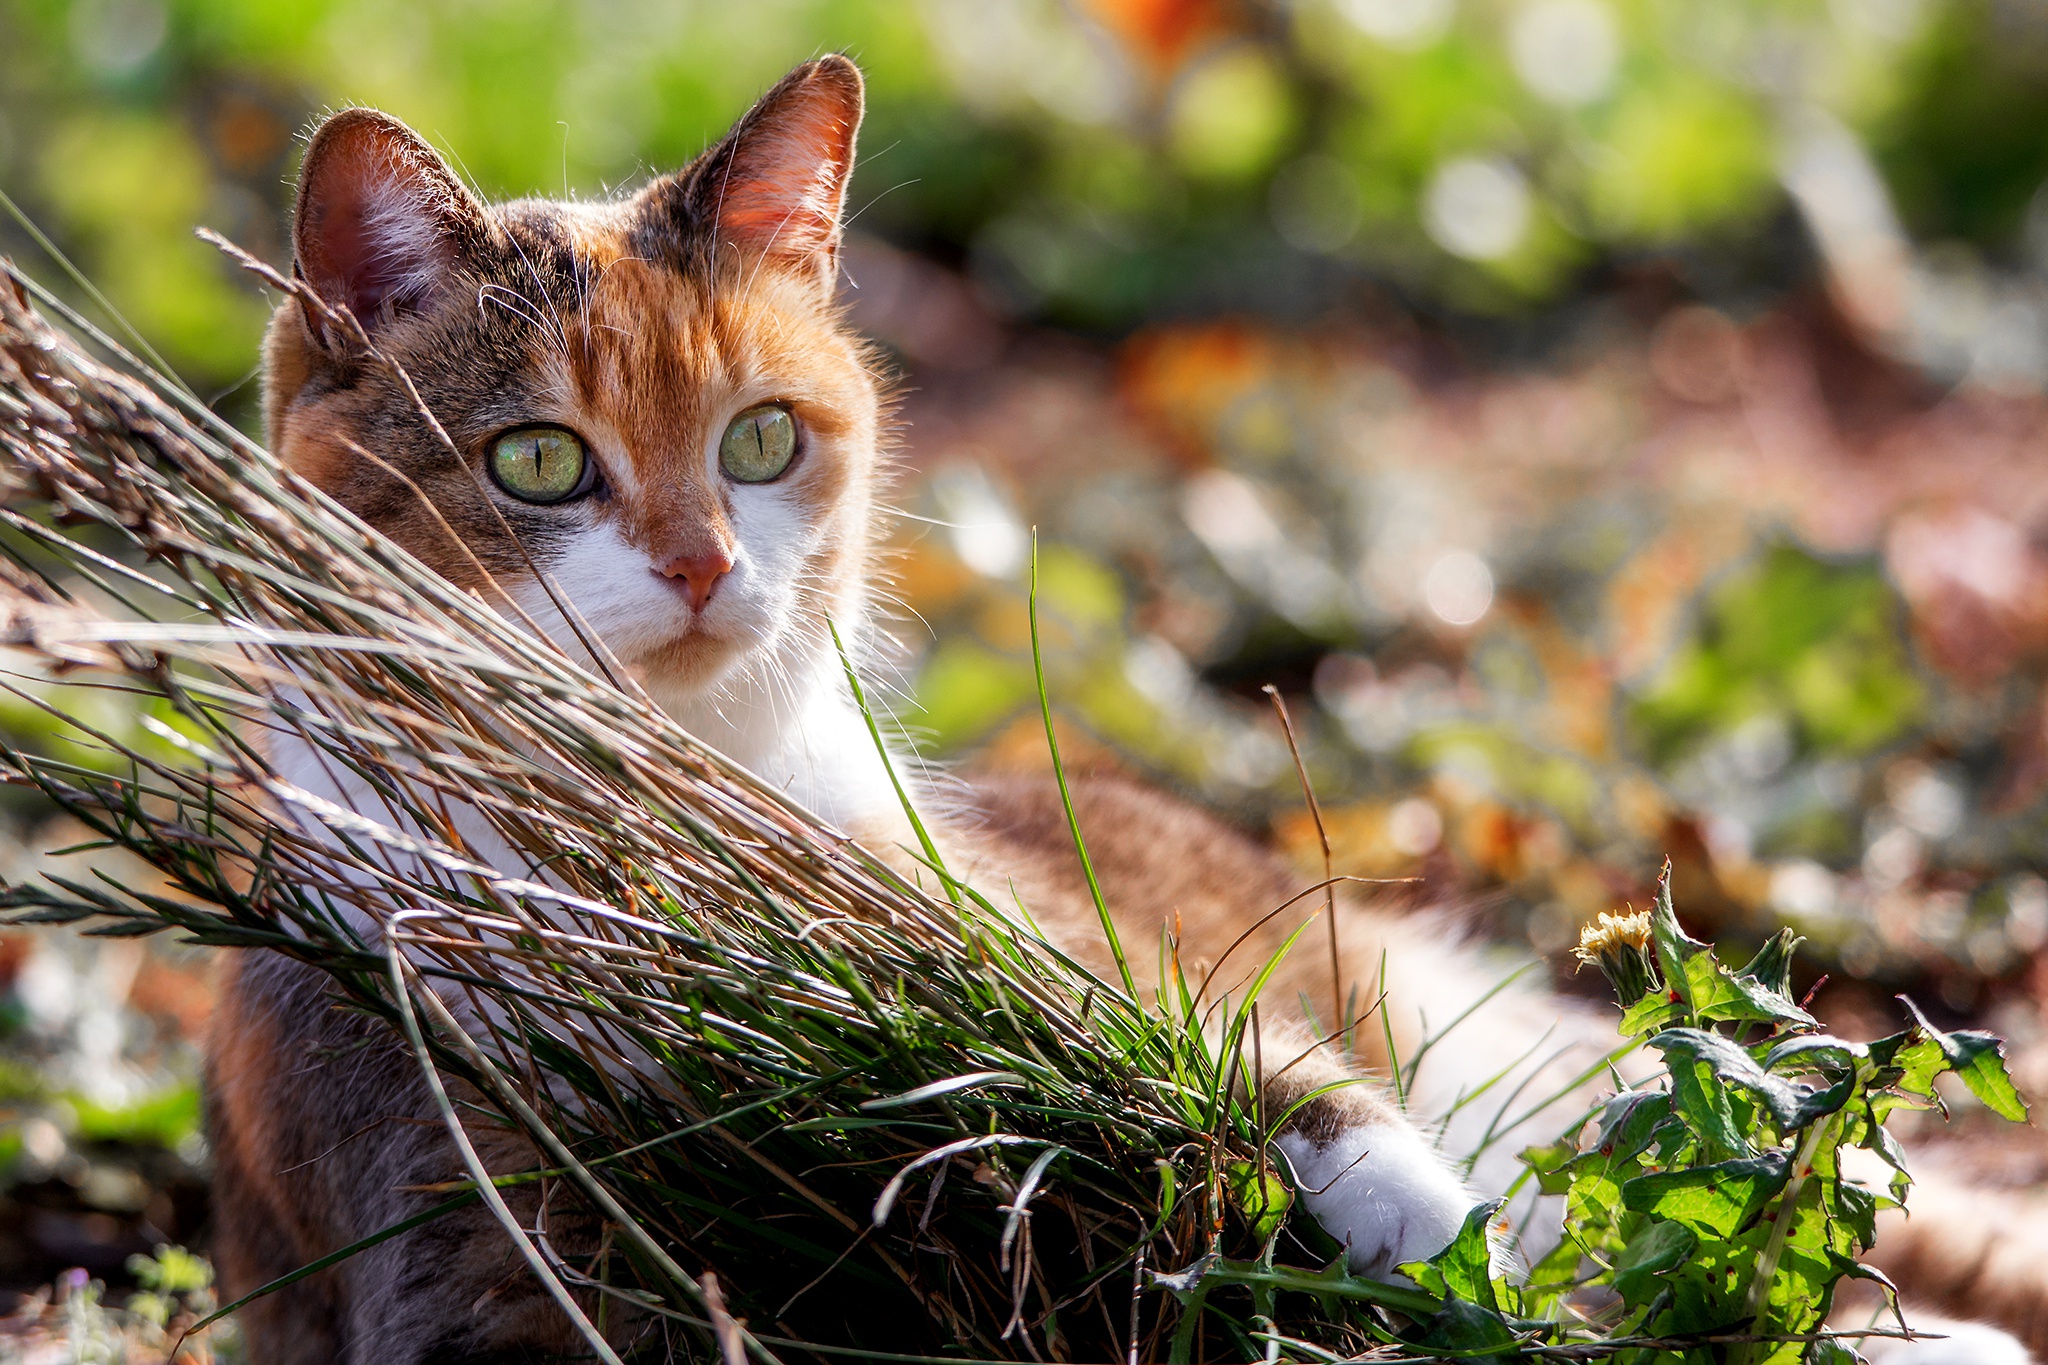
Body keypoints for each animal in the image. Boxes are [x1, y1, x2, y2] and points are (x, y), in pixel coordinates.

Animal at [211, 53, 2048, 1365]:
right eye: (538, 461)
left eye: (760, 439)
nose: (702, 564)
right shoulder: (439, 1191)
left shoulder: (1016, 940)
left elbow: (1206, 1046)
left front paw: (1412, 1207)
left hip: (1511, 1049)